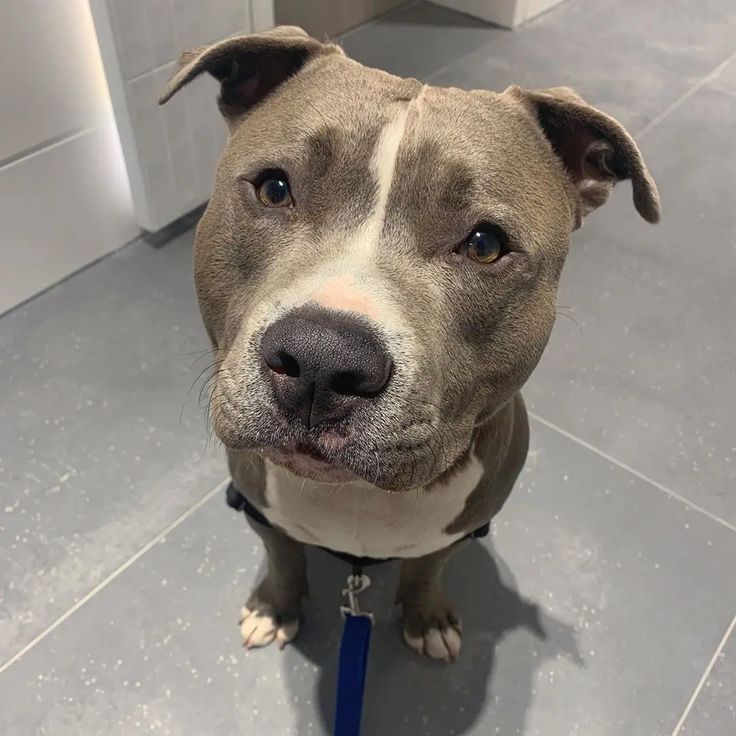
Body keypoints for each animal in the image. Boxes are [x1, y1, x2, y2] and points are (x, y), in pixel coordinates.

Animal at [160, 25, 656, 664]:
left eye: (486, 245)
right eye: (273, 188)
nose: (322, 360)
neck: (354, 496)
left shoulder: (458, 531)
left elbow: (426, 569)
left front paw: (426, 617)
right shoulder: (259, 511)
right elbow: (283, 556)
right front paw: (275, 605)